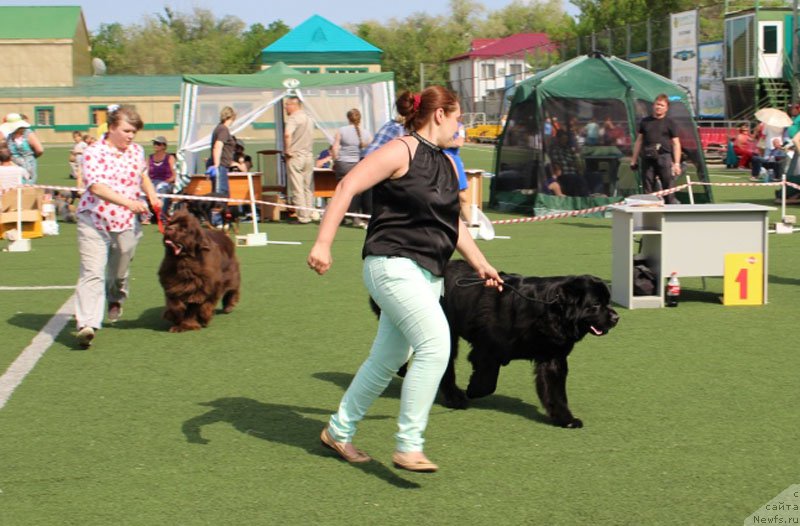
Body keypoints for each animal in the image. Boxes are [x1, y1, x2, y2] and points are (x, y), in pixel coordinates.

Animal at [438, 260, 620, 428]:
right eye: (596, 304)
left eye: (608, 302)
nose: (616, 317)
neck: (549, 312)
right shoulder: (487, 349)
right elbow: (488, 382)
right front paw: (473, 390)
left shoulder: (553, 357)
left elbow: (555, 392)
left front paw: (566, 419)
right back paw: (455, 398)